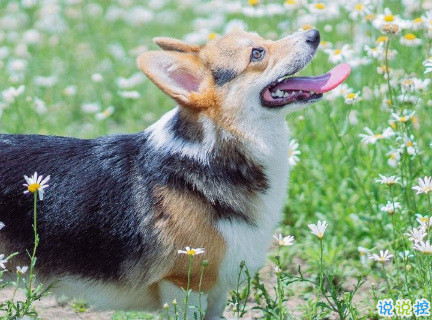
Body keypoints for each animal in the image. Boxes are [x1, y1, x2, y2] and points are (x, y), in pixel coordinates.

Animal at [0, 28, 350, 318]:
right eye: (257, 53)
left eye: (263, 39)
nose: (314, 33)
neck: (215, 153)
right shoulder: (185, 284)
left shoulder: (216, 292)